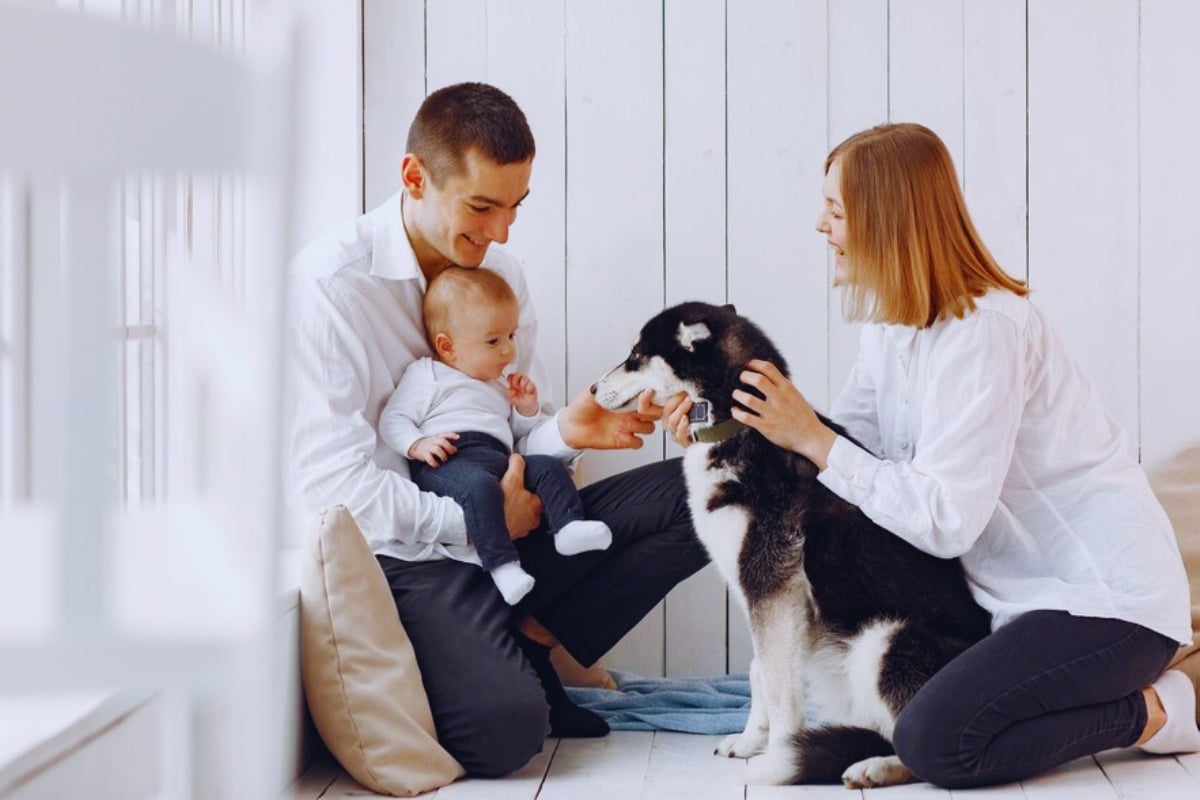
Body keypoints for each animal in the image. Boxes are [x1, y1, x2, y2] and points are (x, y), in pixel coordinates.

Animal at [590, 304, 993, 786]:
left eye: (635, 355)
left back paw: (875, 767)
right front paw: (750, 742)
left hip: (886, 640)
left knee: (912, 741)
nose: (592, 389)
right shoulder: (762, 591)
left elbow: (781, 688)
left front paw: (778, 753)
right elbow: (759, 670)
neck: (737, 423)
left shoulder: (770, 583)